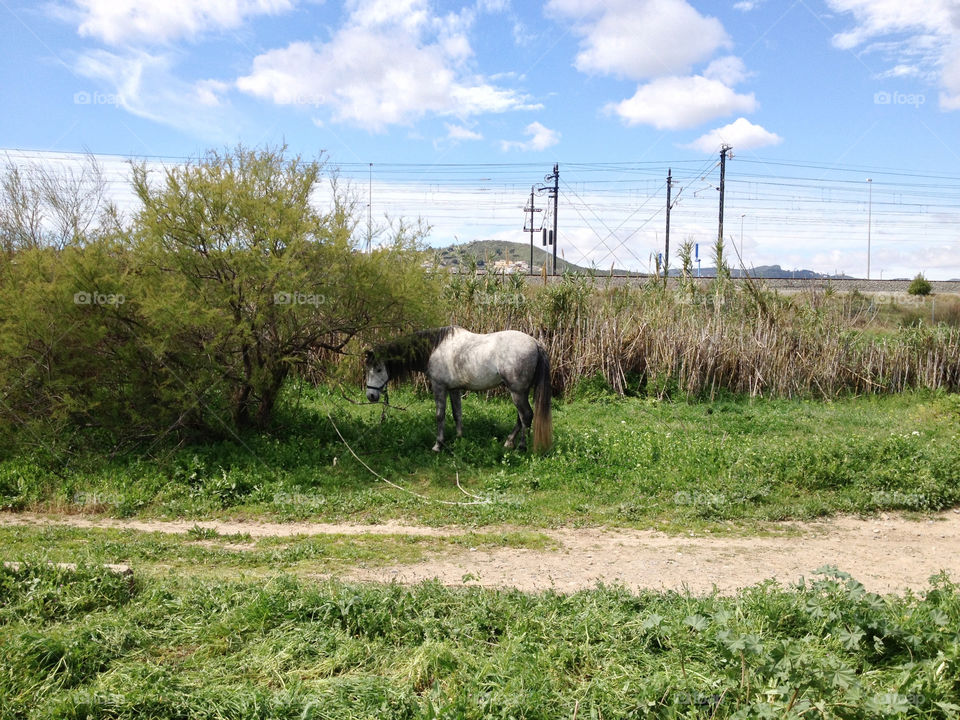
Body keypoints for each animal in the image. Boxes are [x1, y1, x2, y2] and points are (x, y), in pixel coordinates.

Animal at [364, 326, 552, 452]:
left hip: (517, 392)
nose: (371, 395)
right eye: (368, 369)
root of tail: (535, 343)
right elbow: (457, 414)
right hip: (521, 391)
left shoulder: (439, 387)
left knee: (526, 415)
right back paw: (509, 442)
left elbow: (440, 416)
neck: (434, 349)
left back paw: (521, 447)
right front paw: (459, 438)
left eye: (379, 369)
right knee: (521, 417)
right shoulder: (454, 389)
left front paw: (438, 444)